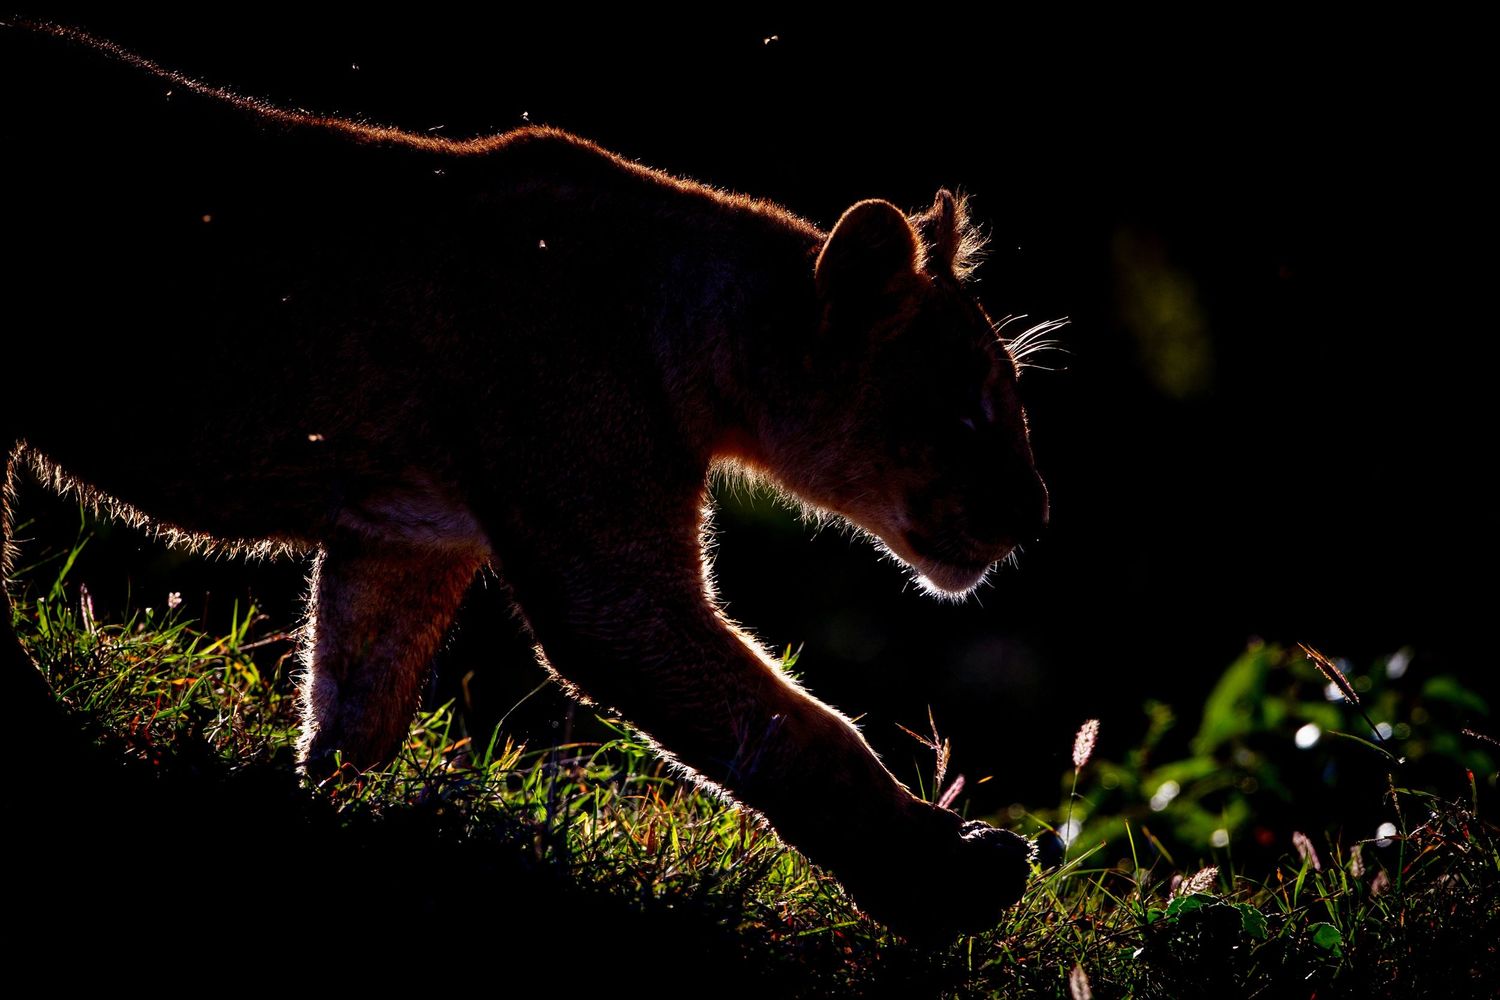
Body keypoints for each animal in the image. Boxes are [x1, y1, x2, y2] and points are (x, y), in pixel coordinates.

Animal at [1, 22, 1054, 939]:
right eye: (971, 409)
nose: (1038, 518)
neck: (704, 344)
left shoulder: (407, 539)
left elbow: (360, 697)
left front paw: (320, 816)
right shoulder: (611, 587)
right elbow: (798, 726)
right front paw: (953, 877)